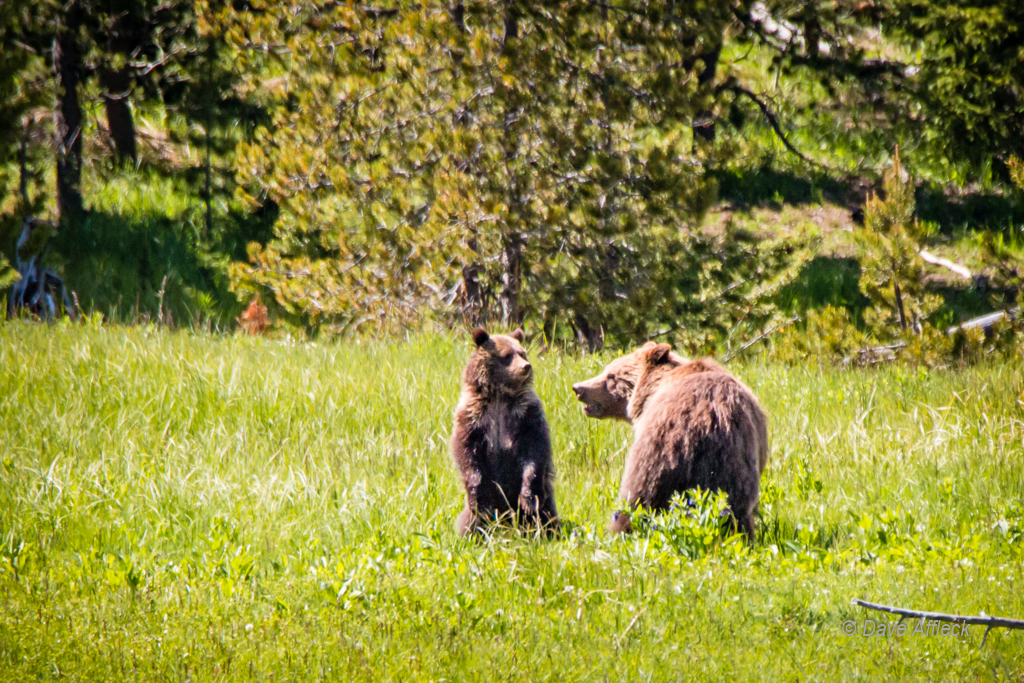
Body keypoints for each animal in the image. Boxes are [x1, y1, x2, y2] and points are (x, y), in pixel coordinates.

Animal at [450, 327, 557, 536]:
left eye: (522, 353)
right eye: (506, 355)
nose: (526, 366)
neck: (499, 396)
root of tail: (506, 518)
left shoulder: (525, 414)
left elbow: (534, 449)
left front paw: (527, 498)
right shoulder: (473, 416)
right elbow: (467, 452)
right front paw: (476, 494)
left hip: (544, 494)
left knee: (543, 513)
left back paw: (546, 531)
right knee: (473, 519)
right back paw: (472, 534)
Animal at [573, 344, 765, 540]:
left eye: (611, 376)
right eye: (606, 371)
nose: (578, 388)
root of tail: (708, 416)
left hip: (657, 451)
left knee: (637, 498)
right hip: (732, 465)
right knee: (736, 509)